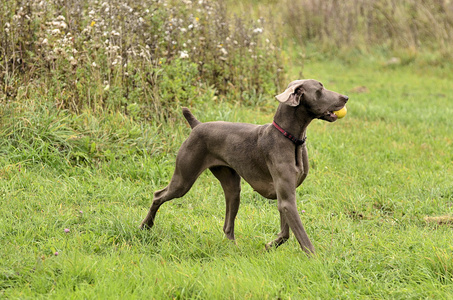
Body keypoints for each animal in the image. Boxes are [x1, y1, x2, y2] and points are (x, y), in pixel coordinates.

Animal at [139, 78, 348, 254]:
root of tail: (197, 125)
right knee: (158, 195)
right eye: (320, 90)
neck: (290, 137)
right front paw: (317, 260)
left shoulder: (286, 196)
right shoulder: (287, 199)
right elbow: (302, 237)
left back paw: (233, 248)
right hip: (184, 179)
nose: (346, 97)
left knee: (227, 225)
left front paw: (270, 245)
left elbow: (286, 232)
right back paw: (145, 226)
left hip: (232, 186)